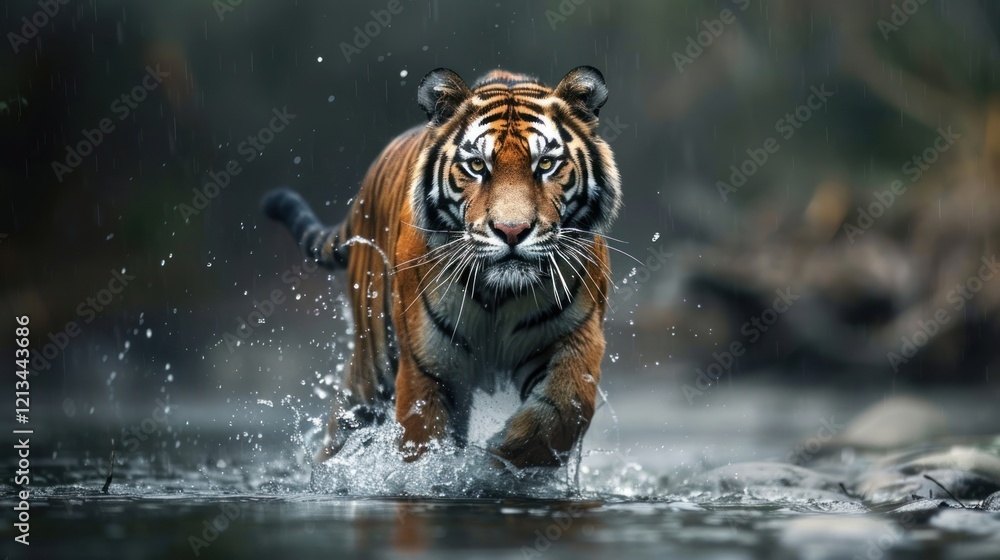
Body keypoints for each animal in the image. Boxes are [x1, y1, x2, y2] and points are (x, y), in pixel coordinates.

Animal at [262, 66, 621, 469]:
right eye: (477, 165)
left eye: (545, 164)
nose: (512, 230)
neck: (499, 294)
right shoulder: (428, 366)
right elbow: (423, 443)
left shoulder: (575, 337)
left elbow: (561, 414)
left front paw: (499, 459)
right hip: (374, 363)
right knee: (342, 420)